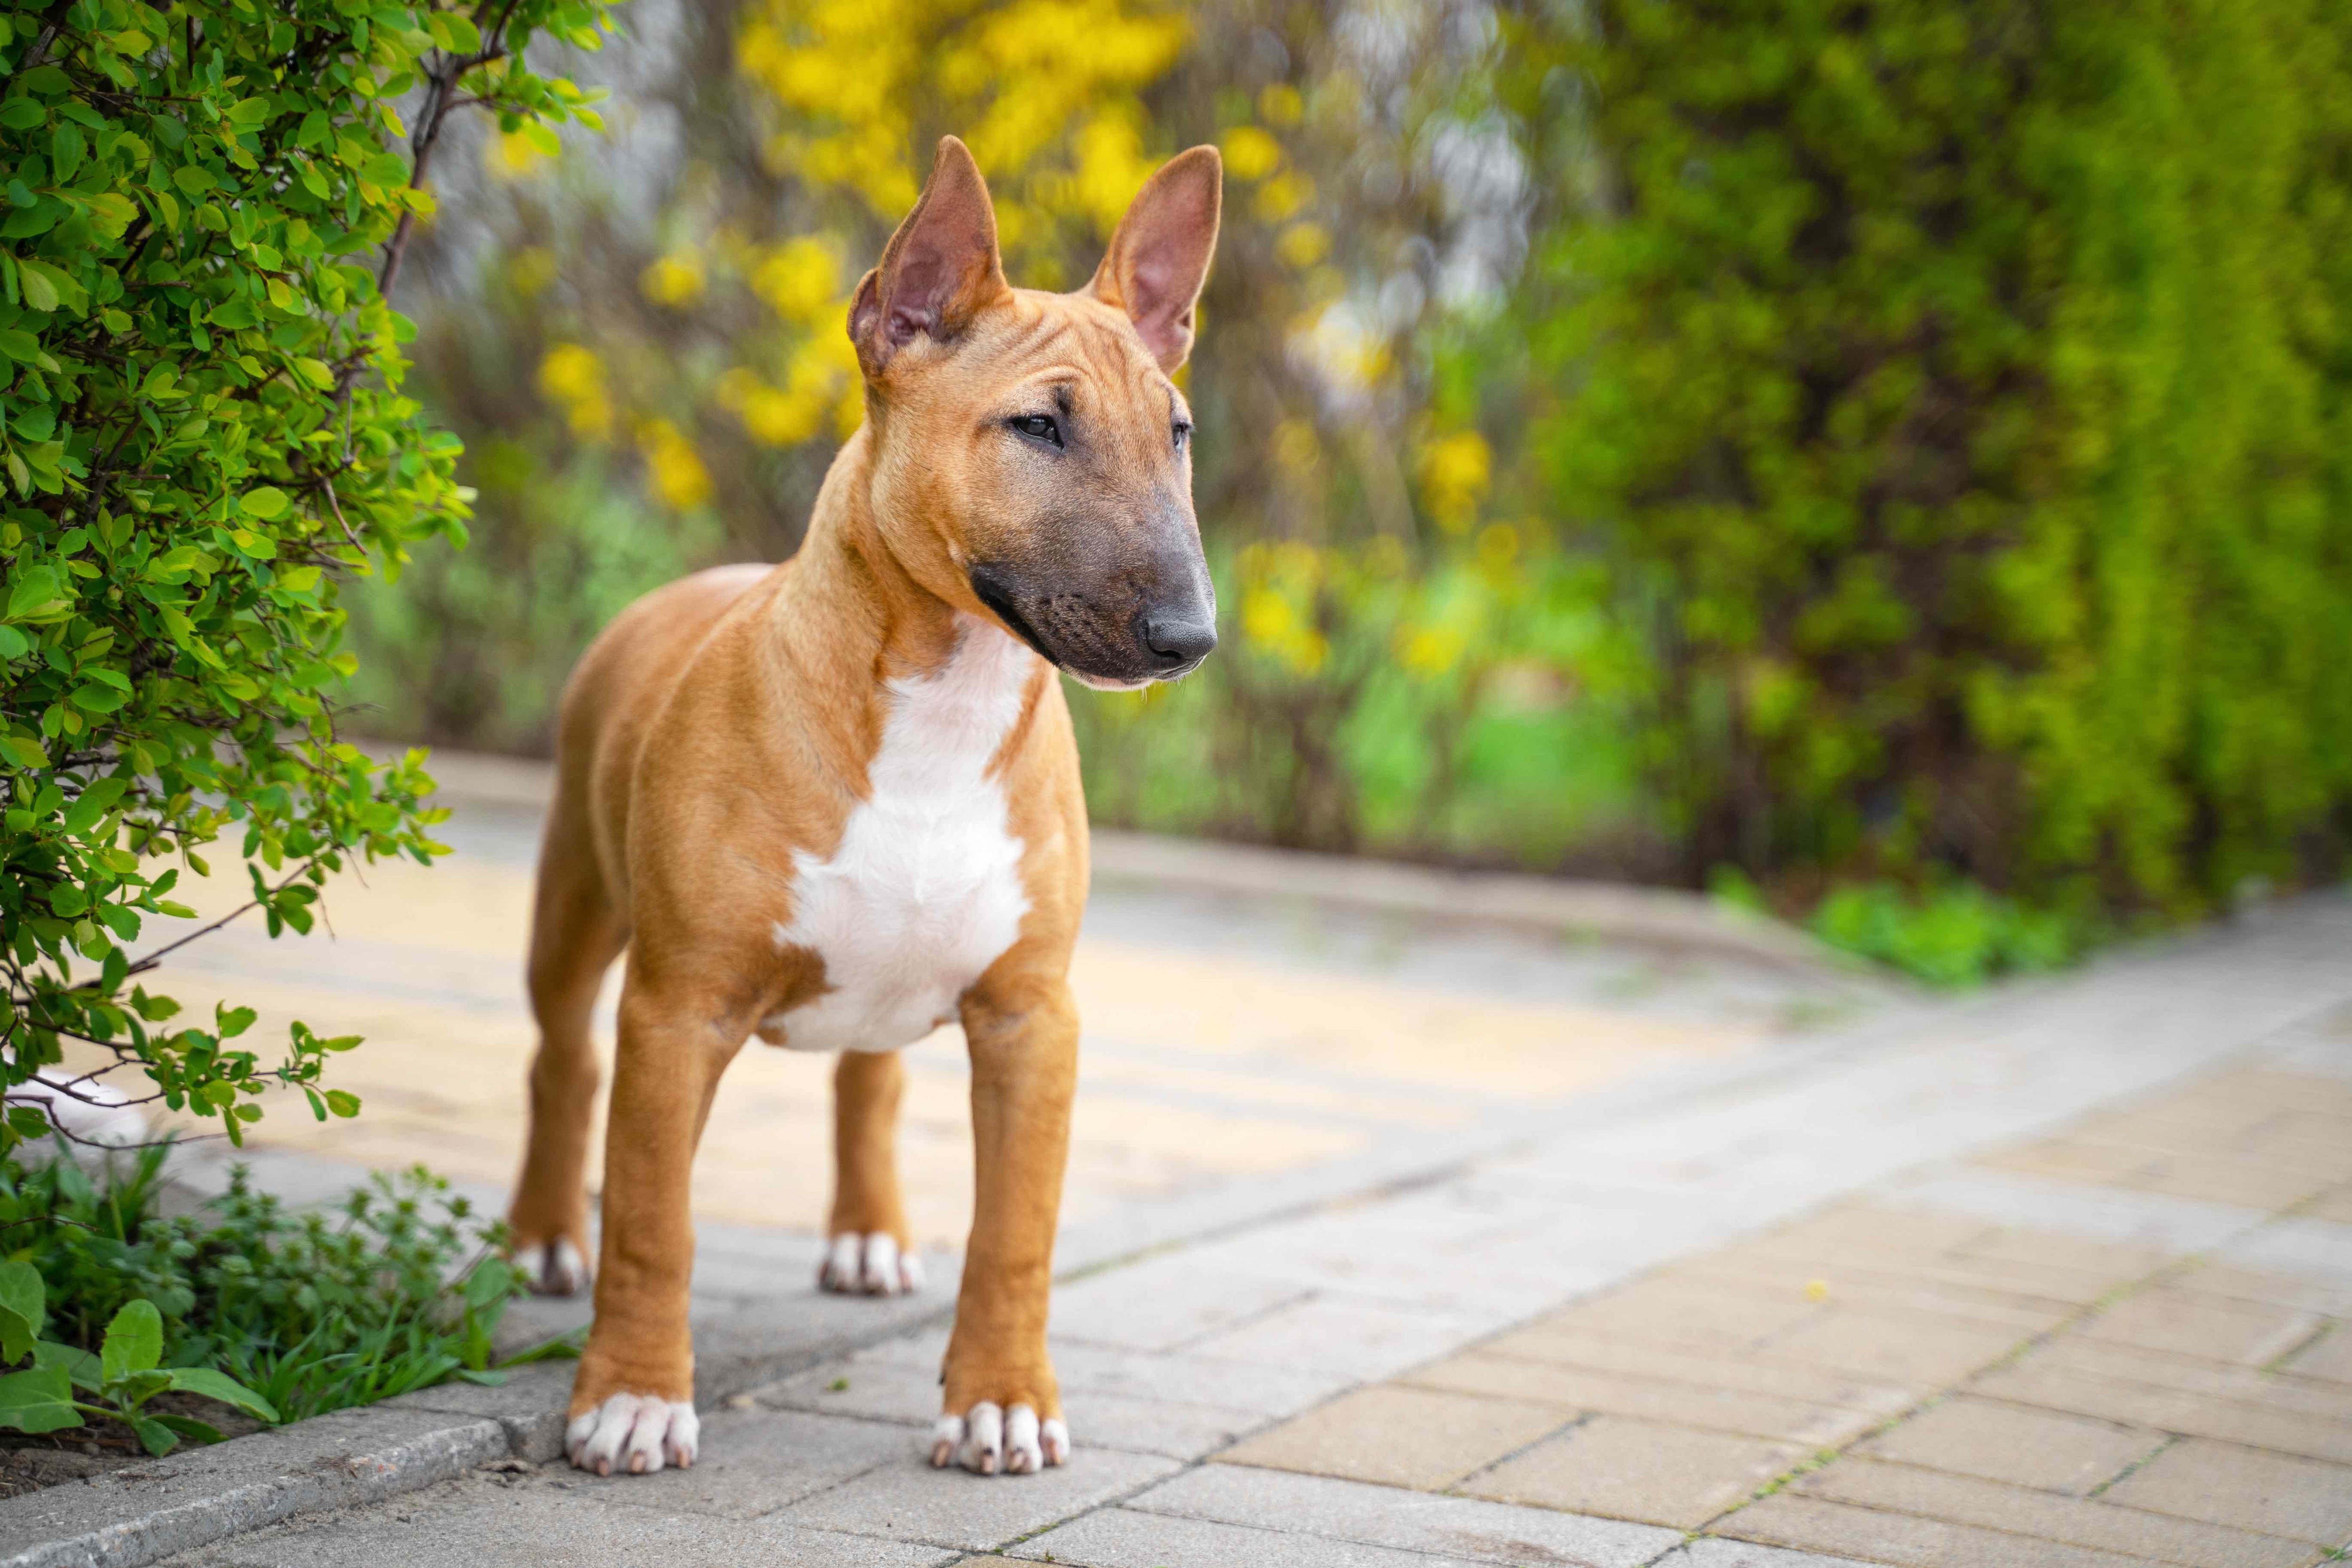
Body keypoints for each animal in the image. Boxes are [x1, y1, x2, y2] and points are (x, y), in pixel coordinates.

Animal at [506, 138, 1223, 1486]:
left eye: (1179, 430)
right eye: (1038, 425)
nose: (1188, 638)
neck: (944, 704)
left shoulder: (1032, 1017)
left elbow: (1015, 1233)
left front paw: (1001, 1404)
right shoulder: (679, 1008)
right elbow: (653, 1220)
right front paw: (631, 1399)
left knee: (868, 1082)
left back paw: (868, 1235)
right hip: (574, 900)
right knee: (565, 1063)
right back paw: (540, 1237)